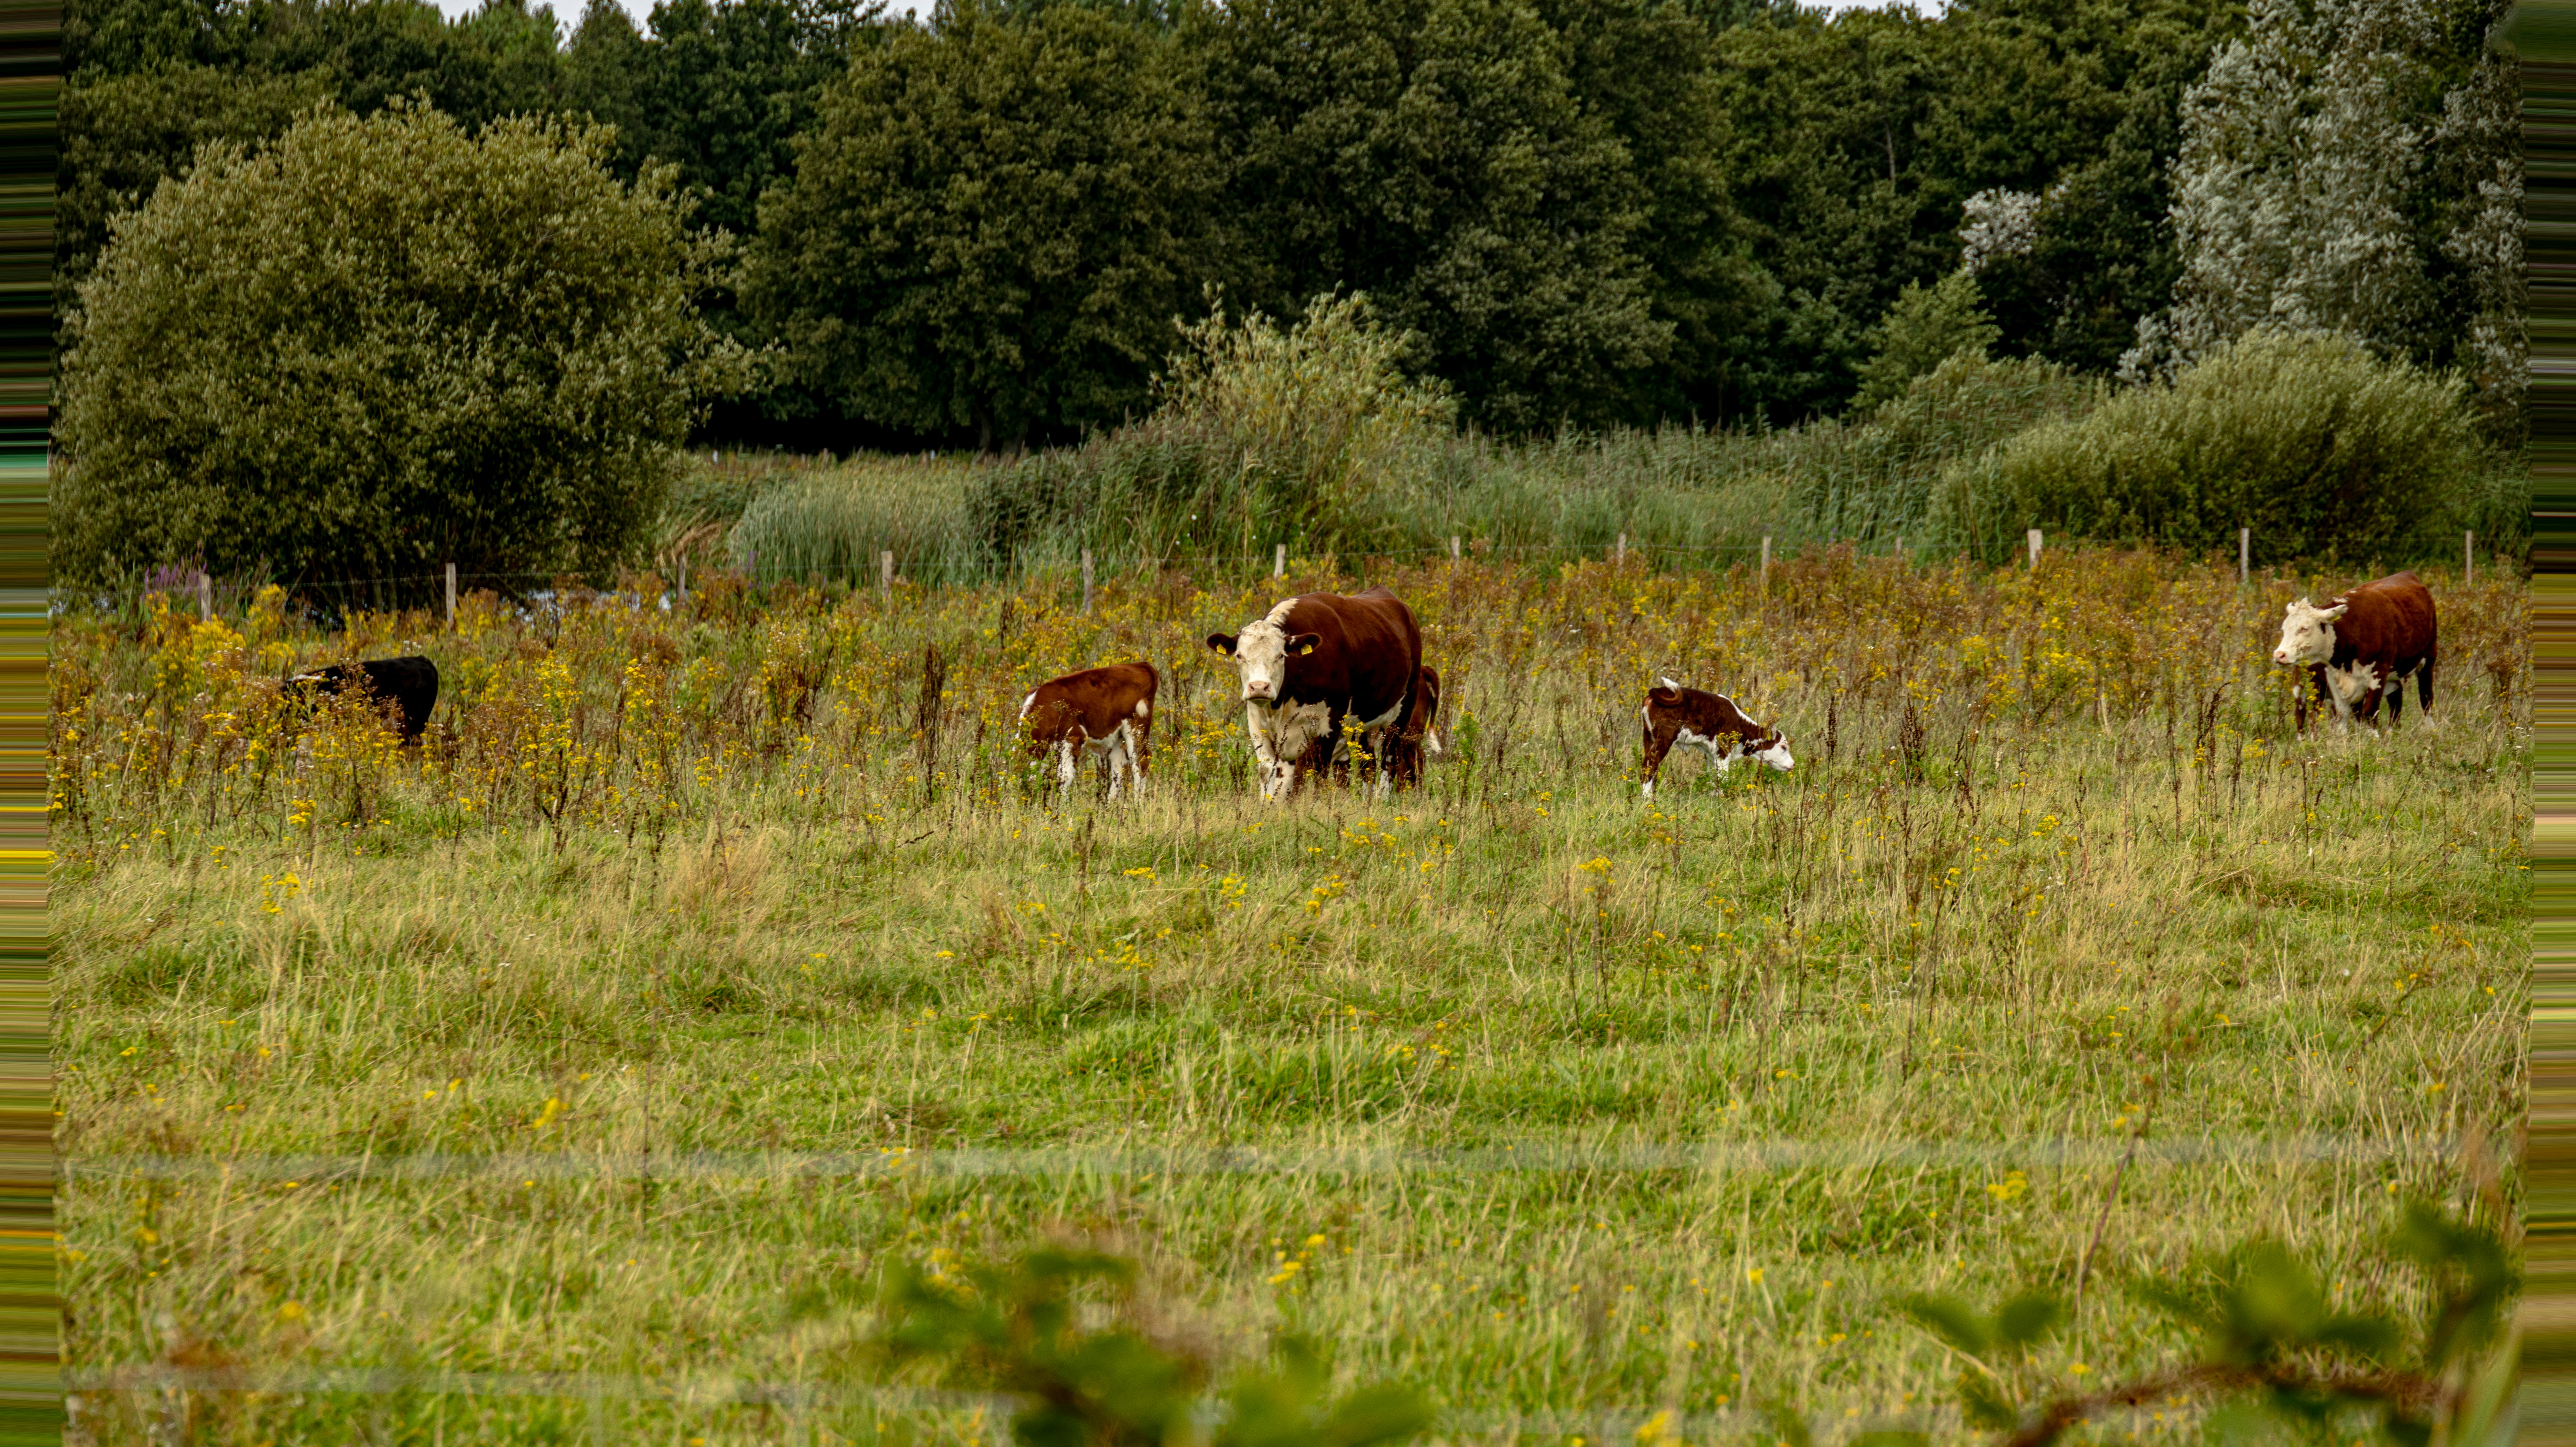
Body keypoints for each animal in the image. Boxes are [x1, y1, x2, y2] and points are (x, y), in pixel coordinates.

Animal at [1018, 662, 1157, 799]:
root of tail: (1140, 664)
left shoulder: (1074, 736)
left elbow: (1064, 777)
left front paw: (1062, 803)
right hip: (1119, 735)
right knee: (1119, 768)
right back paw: (1110, 804)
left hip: (1136, 728)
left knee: (1141, 764)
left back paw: (1137, 803)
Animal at [1207, 587, 1423, 800]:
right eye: (1239, 656)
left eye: (1281, 656)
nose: (1259, 687)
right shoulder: (1257, 725)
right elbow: (1269, 773)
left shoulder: (1329, 725)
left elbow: (1317, 773)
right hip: (1363, 720)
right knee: (1367, 762)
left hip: (1402, 713)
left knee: (1389, 759)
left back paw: (1383, 800)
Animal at [1638, 678, 1792, 797]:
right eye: (1784, 747)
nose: (1793, 764)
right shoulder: (1723, 750)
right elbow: (1723, 777)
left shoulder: (1710, 752)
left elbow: (1713, 774)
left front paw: (1714, 795)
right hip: (1665, 737)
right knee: (1651, 763)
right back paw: (1647, 797)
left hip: (1648, 736)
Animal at [2270, 572, 2437, 732]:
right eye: (2284, 629)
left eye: (2305, 628)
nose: (2279, 655)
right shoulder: (2334, 678)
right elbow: (2342, 713)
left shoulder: (2379, 673)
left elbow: (2370, 712)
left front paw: (2373, 739)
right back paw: (2392, 732)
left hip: (2429, 659)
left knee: (2426, 698)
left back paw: (2431, 730)